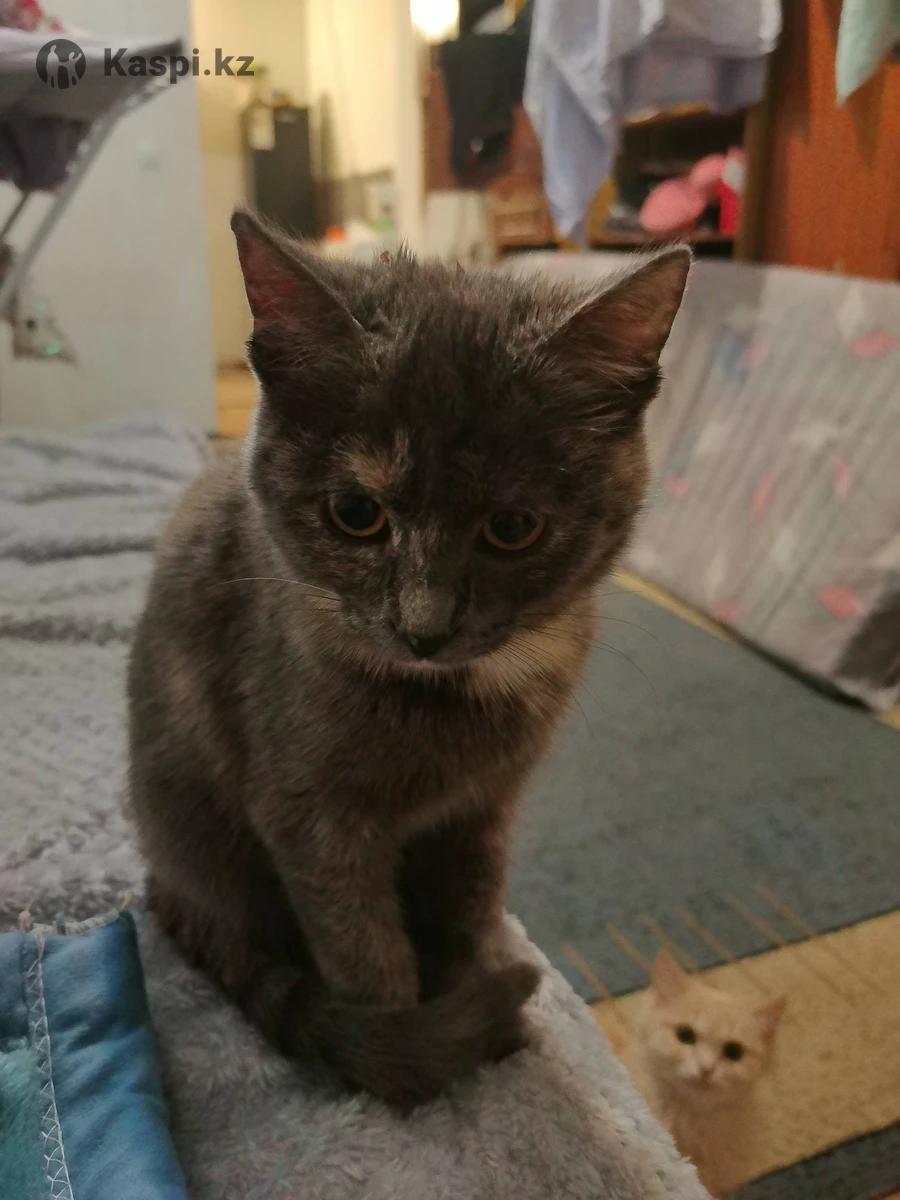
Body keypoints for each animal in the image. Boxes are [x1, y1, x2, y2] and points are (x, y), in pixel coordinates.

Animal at [127, 208, 690, 1108]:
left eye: (512, 527)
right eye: (357, 514)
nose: (425, 627)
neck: (447, 701)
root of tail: (163, 883)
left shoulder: (486, 807)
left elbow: (472, 908)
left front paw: (484, 1020)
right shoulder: (309, 814)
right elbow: (363, 946)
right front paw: (414, 1066)